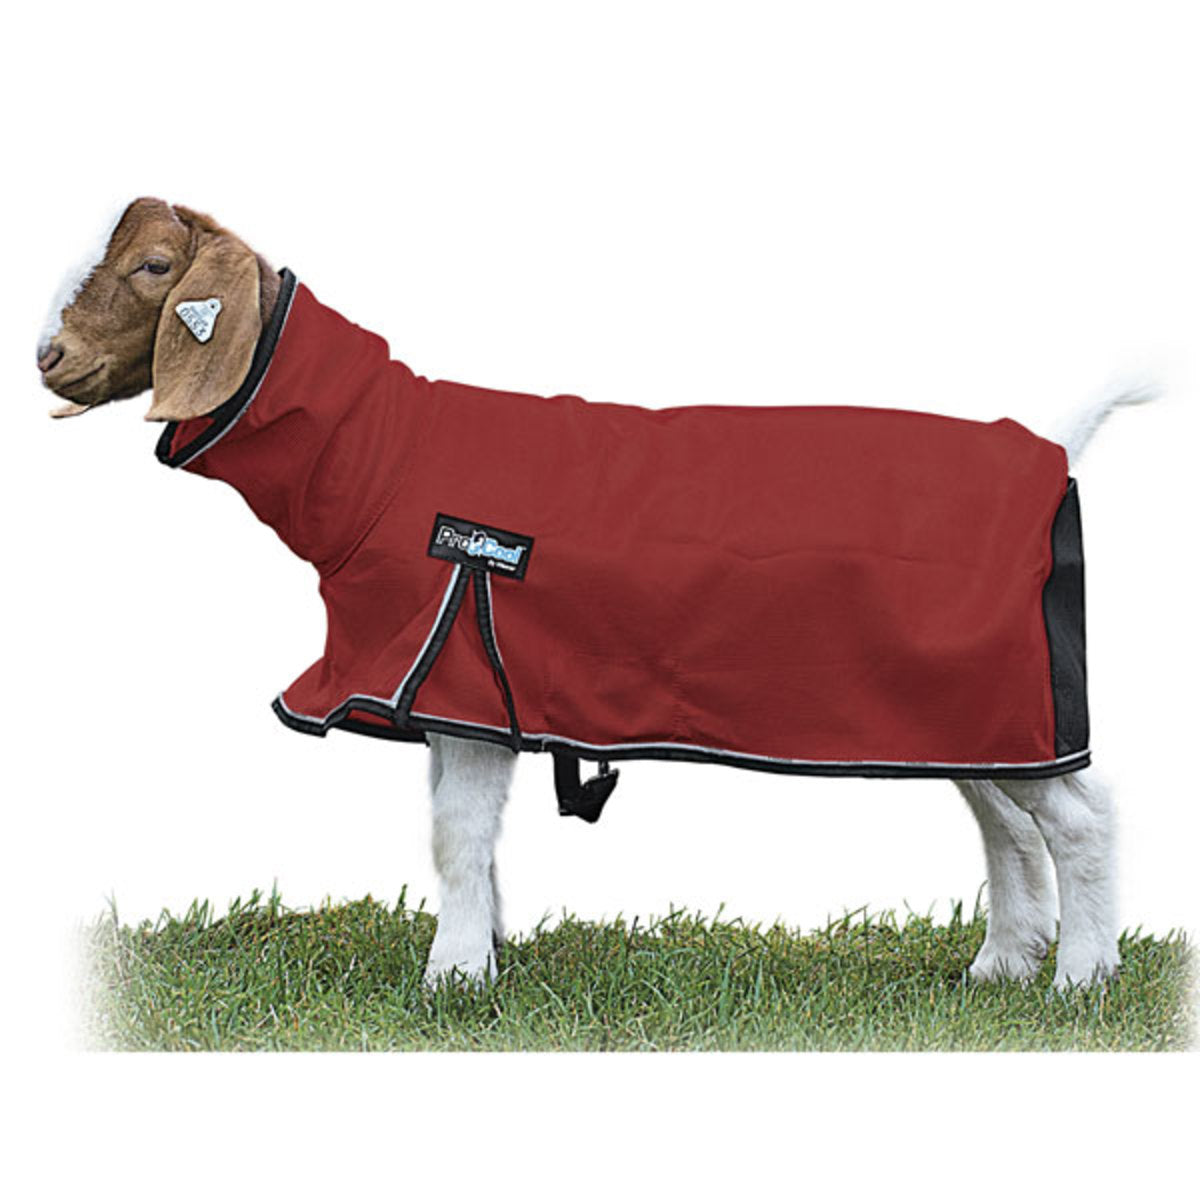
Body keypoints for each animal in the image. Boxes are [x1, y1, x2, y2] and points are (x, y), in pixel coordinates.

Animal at [39, 197, 1150, 990]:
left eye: (153, 268)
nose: (49, 356)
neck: (383, 455)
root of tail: (1051, 448)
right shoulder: (457, 694)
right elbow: (472, 841)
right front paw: (484, 959)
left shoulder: (456, 661)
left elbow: (454, 836)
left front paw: (450, 981)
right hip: (968, 709)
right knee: (1006, 822)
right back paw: (1002, 966)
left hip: (1002, 692)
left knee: (1083, 819)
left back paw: (1081, 980)